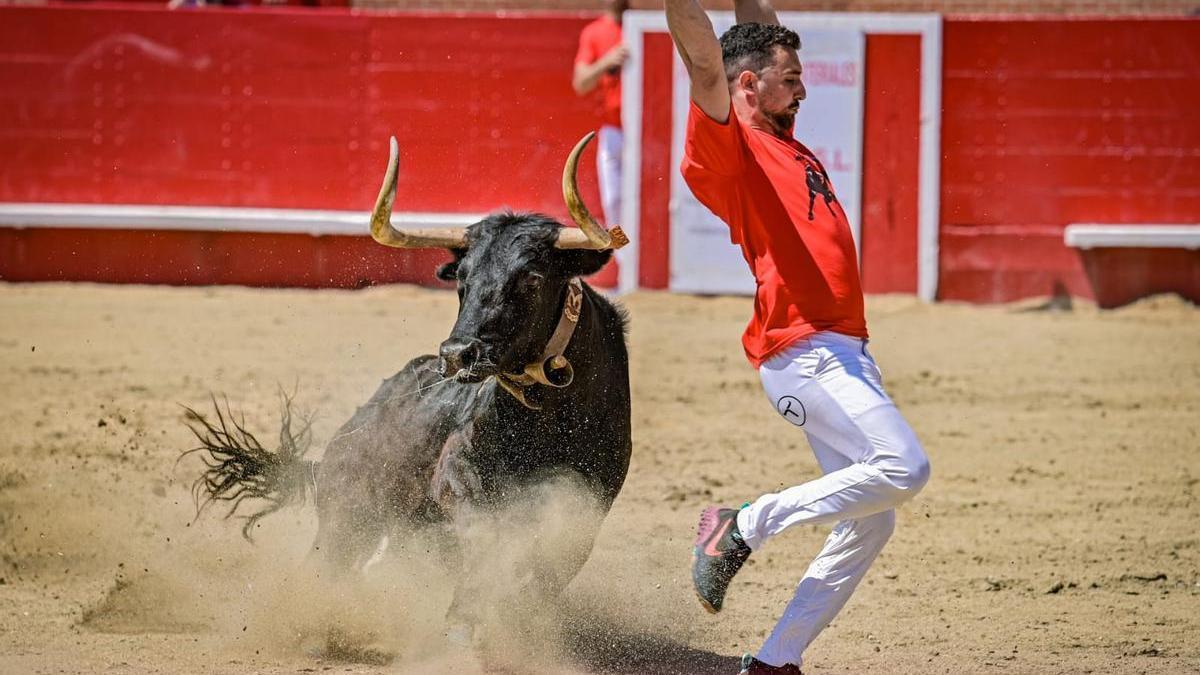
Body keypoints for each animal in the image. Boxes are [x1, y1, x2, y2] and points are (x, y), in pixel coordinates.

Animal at [182, 133, 633, 629]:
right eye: (462, 279)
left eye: (532, 278)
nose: (456, 354)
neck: (550, 415)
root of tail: (332, 451)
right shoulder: (457, 472)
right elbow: (484, 536)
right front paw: (463, 620)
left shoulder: (588, 507)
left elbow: (540, 568)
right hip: (348, 519)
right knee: (326, 567)